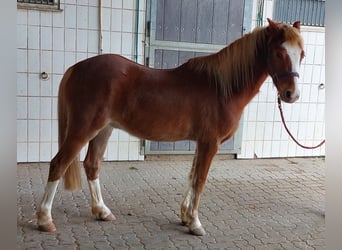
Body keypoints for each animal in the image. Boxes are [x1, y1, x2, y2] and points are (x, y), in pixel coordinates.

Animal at [36, 18, 304, 235]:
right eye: (278, 53)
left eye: (301, 54)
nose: (291, 95)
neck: (221, 88)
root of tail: (76, 68)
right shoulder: (210, 143)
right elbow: (200, 180)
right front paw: (195, 224)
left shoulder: (201, 142)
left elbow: (192, 176)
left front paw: (185, 217)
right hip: (83, 128)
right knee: (58, 164)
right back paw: (45, 220)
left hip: (104, 130)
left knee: (92, 165)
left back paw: (102, 211)